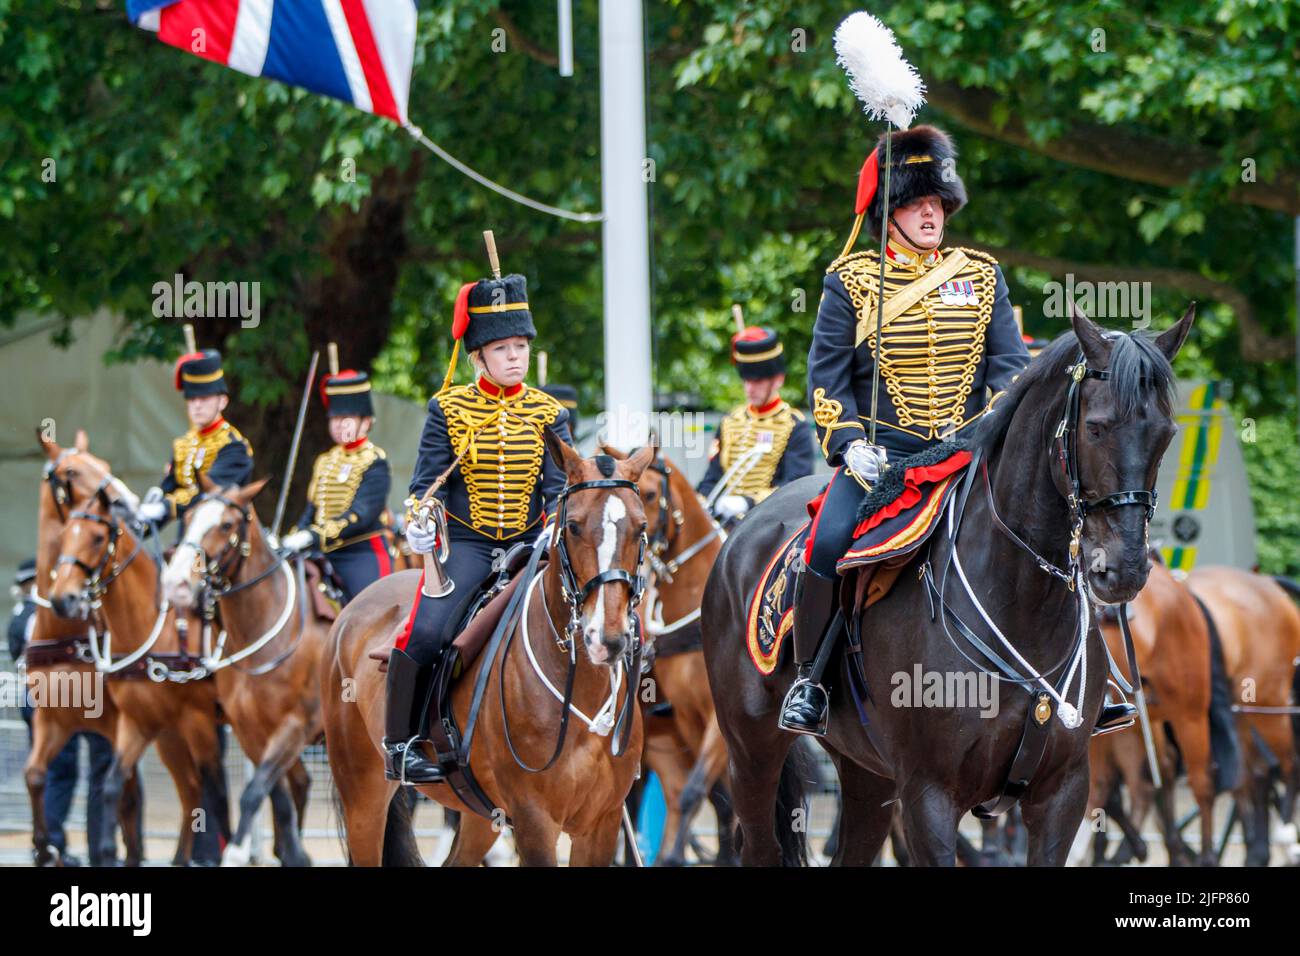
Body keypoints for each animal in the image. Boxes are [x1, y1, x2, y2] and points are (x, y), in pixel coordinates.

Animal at [41, 442, 231, 868]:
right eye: (64, 538)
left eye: (98, 537)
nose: (64, 599)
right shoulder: (127, 723)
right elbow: (104, 786)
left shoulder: (189, 721)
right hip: (171, 736)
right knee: (189, 789)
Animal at [160, 476, 330, 868]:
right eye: (188, 516)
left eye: (226, 525)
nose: (176, 583)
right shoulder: (250, 731)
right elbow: (276, 799)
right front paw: (293, 855)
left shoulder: (296, 726)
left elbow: (253, 793)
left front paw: (236, 853)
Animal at [321, 439, 655, 868]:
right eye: (574, 525)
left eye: (641, 527)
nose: (607, 639)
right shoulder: (533, 820)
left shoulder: (602, 822)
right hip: (362, 798)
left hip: (481, 815)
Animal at [707, 306, 1190, 868]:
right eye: (1095, 428)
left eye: (1166, 434)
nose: (1124, 568)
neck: (1021, 605)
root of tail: (744, 528)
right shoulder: (929, 795)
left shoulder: (1063, 792)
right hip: (751, 751)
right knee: (758, 841)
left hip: (866, 773)